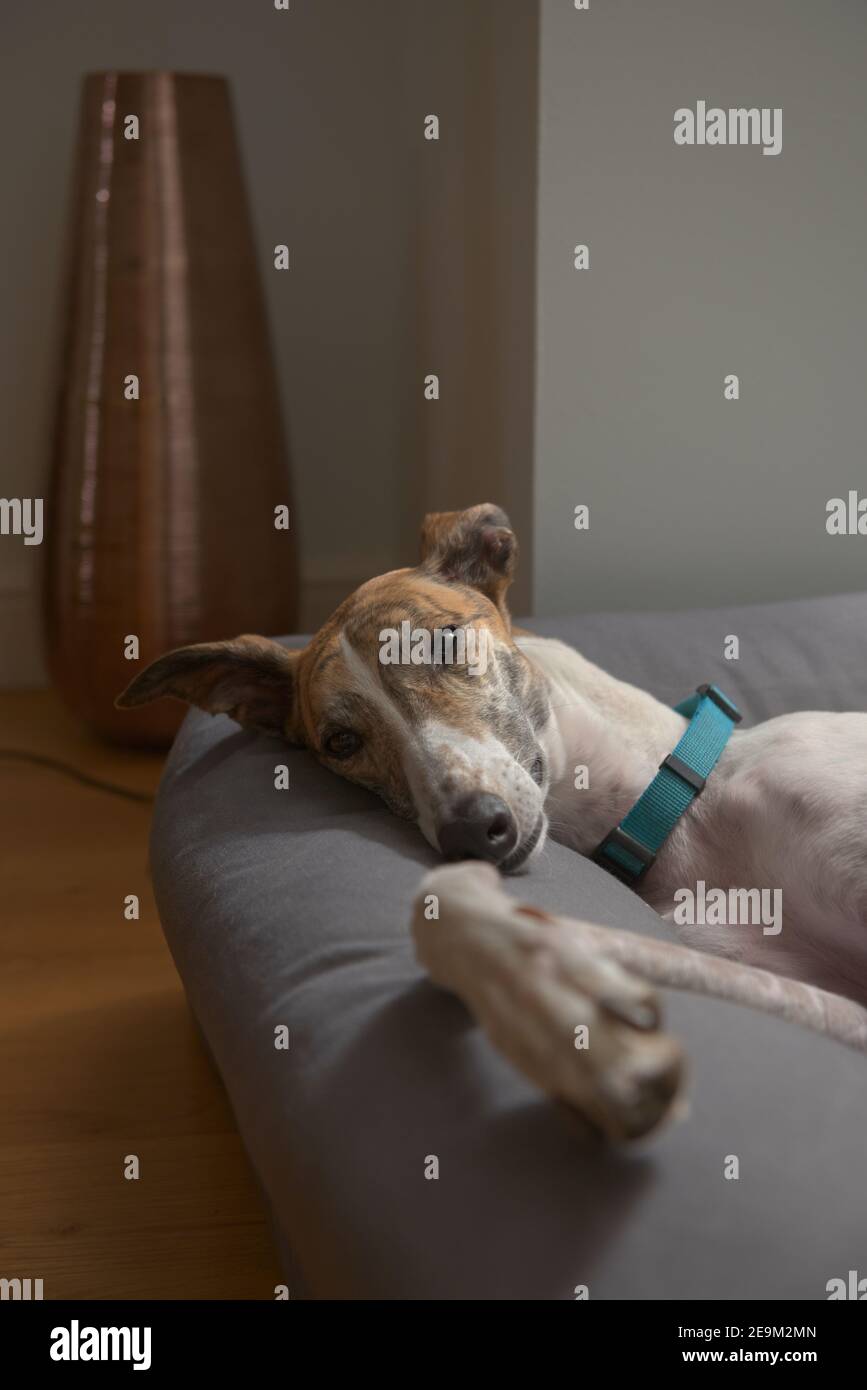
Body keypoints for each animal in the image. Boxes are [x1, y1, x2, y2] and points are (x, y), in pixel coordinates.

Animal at [118, 505, 867, 1134]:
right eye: (341, 742)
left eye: (445, 645)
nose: (472, 830)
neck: (681, 806)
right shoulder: (827, 1002)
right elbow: (442, 905)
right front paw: (574, 1035)